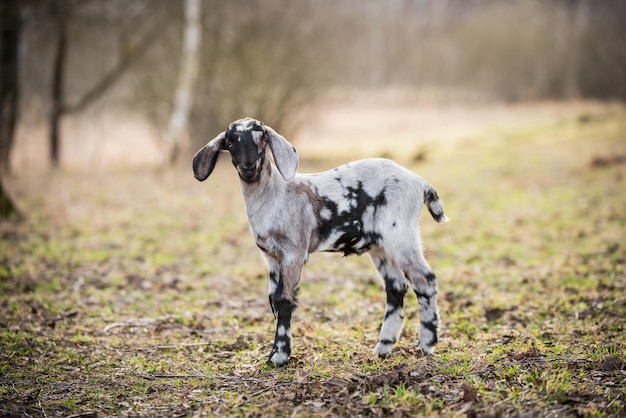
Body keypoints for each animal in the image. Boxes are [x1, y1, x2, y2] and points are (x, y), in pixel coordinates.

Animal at [193, 116, 446, 366]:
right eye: (230, 142)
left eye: (261, 138)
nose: (249, 167)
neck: (274, 195)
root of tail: (419, 182)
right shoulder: (271, 257)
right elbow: (273, 300)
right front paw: (274, 353)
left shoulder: (294, 252)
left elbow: (284, 300)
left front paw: (280, 356)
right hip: (380, 247)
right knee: (396, 287)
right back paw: (383, 347)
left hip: (401, 235)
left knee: (425, 280)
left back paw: (426, 343)